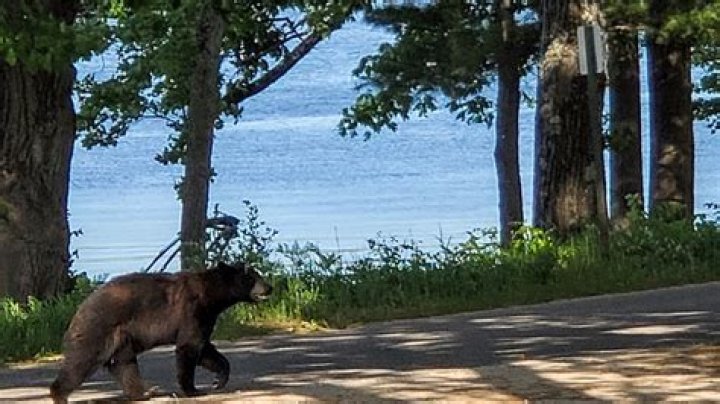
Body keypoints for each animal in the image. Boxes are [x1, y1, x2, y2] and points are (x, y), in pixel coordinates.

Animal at [49, 261, 272, 404]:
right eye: (252, 277)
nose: (269, 287)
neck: (211, 295)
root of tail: (79, 309)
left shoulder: (205, 317)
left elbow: (205, 349)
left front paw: (219, 379)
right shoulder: (192, 310)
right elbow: (189, 347)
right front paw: (192, 390)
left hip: (121, 338)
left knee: (123, 363)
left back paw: (143, 392)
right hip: (99, 330)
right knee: (82, 361)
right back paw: (59, 395)